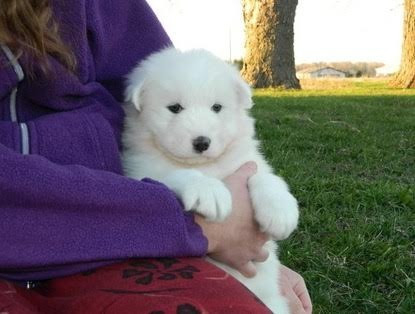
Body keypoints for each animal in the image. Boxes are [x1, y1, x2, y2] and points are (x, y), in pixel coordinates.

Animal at [122, 47, 300, 314]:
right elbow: (175, 174)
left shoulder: (248, 161)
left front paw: (280, 211)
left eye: (217, 107)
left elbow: (266, 177)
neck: (207, 165)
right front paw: (209, 191)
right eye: (175, 108)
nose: (202, 142)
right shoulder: (142, 172)